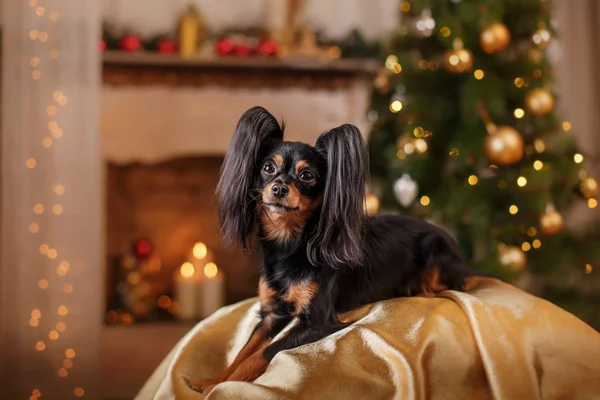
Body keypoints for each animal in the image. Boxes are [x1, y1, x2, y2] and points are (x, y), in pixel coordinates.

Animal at [191, 106, 464, 394]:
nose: (278, 188)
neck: (290, 245)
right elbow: (243, 352)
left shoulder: (317, 322)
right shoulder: (270, 315)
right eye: (268, 168)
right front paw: (212, 380)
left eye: (307, 176)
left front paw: (222, 385)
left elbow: (261, 354)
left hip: (435, 251)